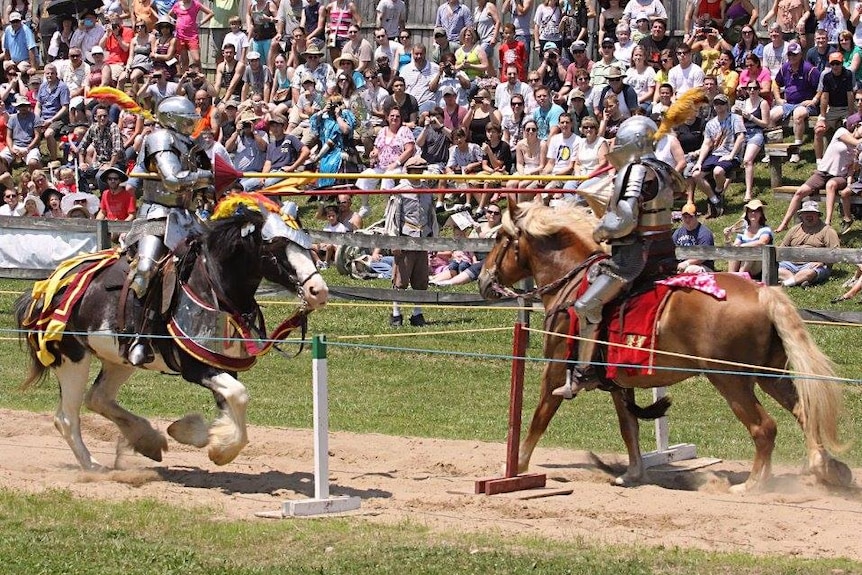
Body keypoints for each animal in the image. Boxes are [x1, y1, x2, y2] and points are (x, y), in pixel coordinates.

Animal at [14, 200, 330, 470]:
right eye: (276, 247)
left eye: (307, 245)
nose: (319, 291)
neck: (214, 287)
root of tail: (45, 290)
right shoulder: (197, 368)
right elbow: (239, 396)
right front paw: (220, 449)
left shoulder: (222, 366)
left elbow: (229, 404)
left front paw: (200, 435)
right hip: (72, 358)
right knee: (67, 418)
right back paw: (94, 467)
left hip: (119, 359)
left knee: (98, 398)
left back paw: (147, 440)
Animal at [480, 202, 856, 490]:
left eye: (499, 237)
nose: (484, 279)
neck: (571, 282)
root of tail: (763, 292)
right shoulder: (619, 382)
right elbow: (628, 428)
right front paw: (632, 473)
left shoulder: (557, 371)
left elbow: (539, 417)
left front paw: (517, 465)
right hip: (771, 375)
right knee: (805, 413)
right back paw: (825, 468)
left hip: (731, 380)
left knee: (764, 428)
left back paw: (754, 484)